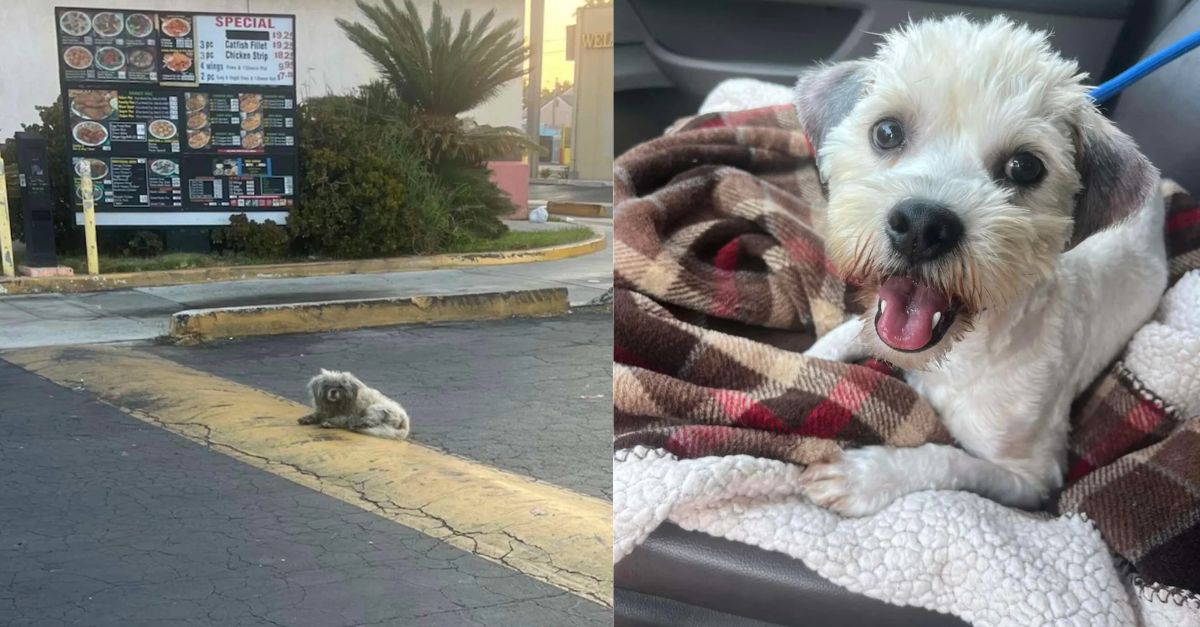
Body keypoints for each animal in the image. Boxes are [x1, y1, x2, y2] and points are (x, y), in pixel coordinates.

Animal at [792, 15, 1166, 511]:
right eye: (887, 132)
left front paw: (862, 477)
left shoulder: (1032, 479)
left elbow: (947, 459)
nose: (921, 225)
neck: (955, 354)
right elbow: (841, 336)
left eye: (1025, 166)